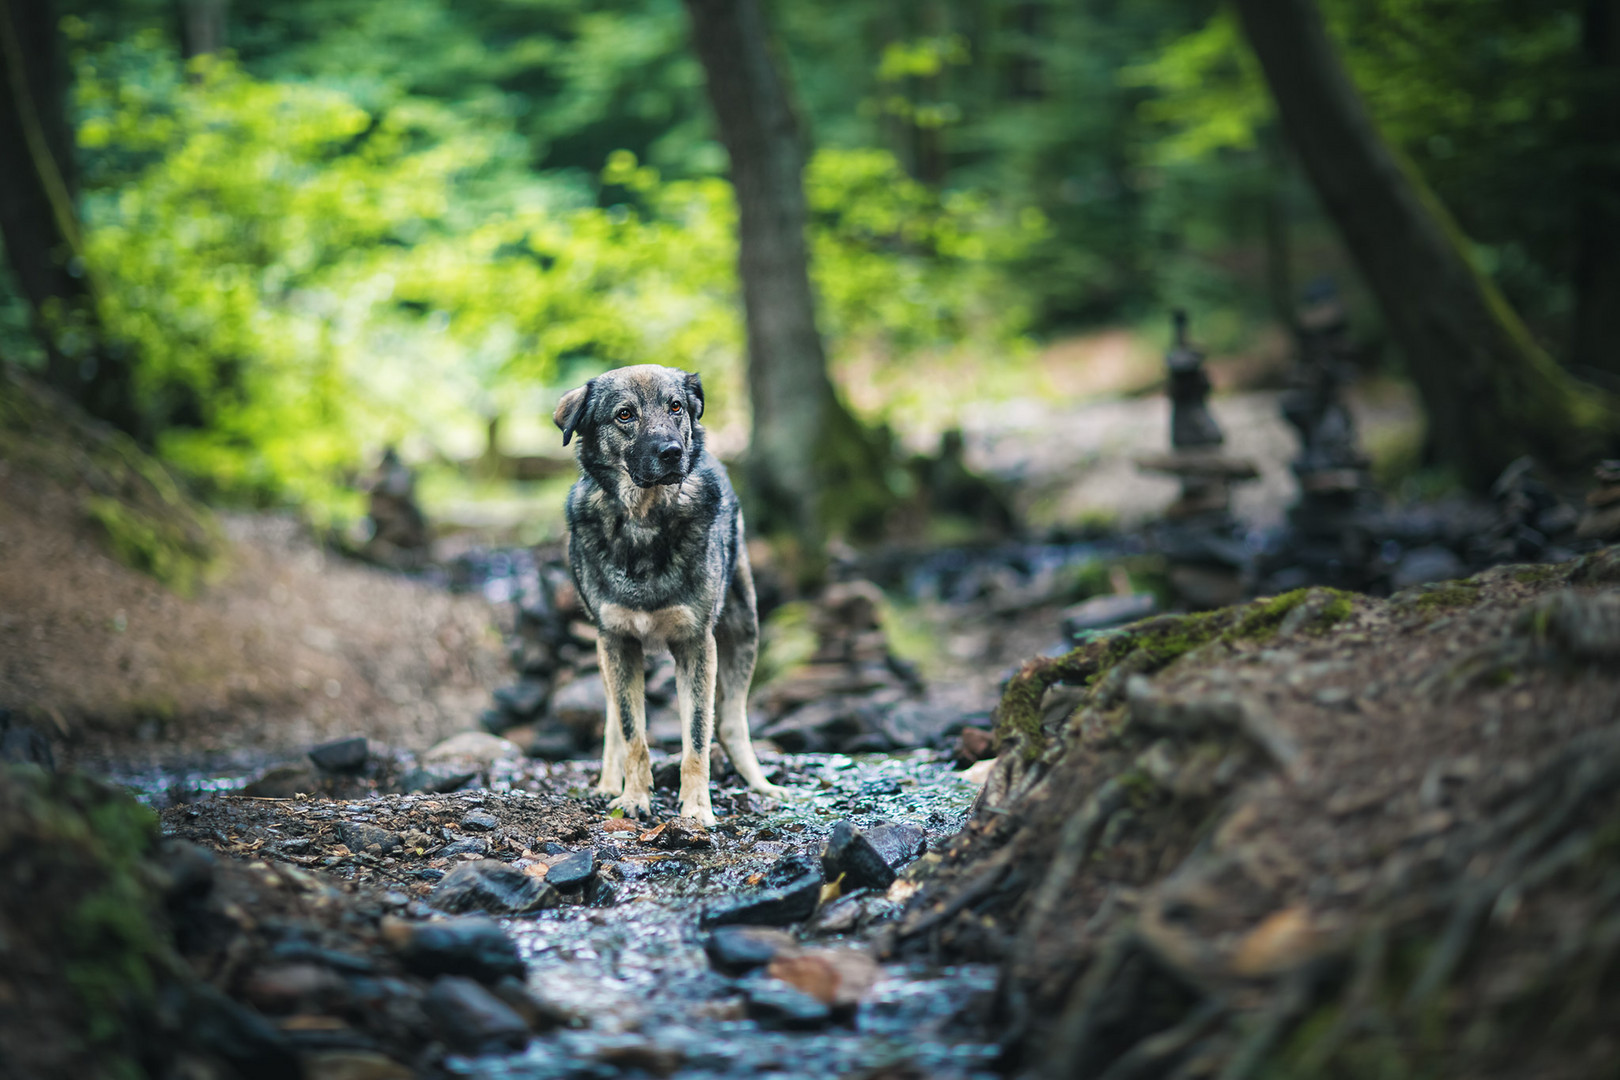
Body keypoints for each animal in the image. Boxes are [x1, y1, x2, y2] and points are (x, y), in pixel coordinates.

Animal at [554, 365, 787, 829]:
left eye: (675, 407)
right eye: (625, 414)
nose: (673, 452)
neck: (644, 519)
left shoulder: (696, 645)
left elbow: (696, 738)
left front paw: (696, 808)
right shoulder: (618, 642)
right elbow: (633, 735)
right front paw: (633, 799)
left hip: (743, 632)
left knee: (731, 722)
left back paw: (761, 784)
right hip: (607, 653)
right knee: (613, 719)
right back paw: (607, 784)